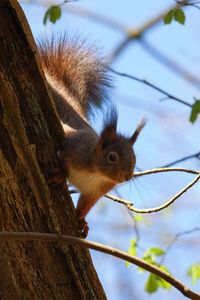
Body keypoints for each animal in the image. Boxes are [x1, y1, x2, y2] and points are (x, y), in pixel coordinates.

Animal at [38, 34, 145, 237]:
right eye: (112, 157)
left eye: (135, 159)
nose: (127, 177)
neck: (96, 172)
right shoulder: (76, 146)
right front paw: (61, 173)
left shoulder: (95, 191)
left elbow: (85, 206)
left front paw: (81, 221)